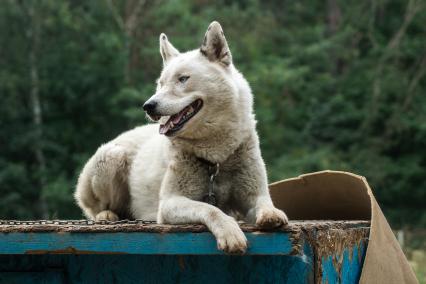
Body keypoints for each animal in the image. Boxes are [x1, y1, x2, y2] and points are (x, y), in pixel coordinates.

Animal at [75, 22, 288, 253]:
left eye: (183, 79)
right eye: (160, 83)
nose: (148, 106)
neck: (215, 156)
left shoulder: (254, 194)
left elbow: (265, 203)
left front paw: (272, 215)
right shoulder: (170, 203)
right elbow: (211, 209)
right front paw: (230, 233)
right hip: (112, 156)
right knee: (95, 209)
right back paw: (107, 214)